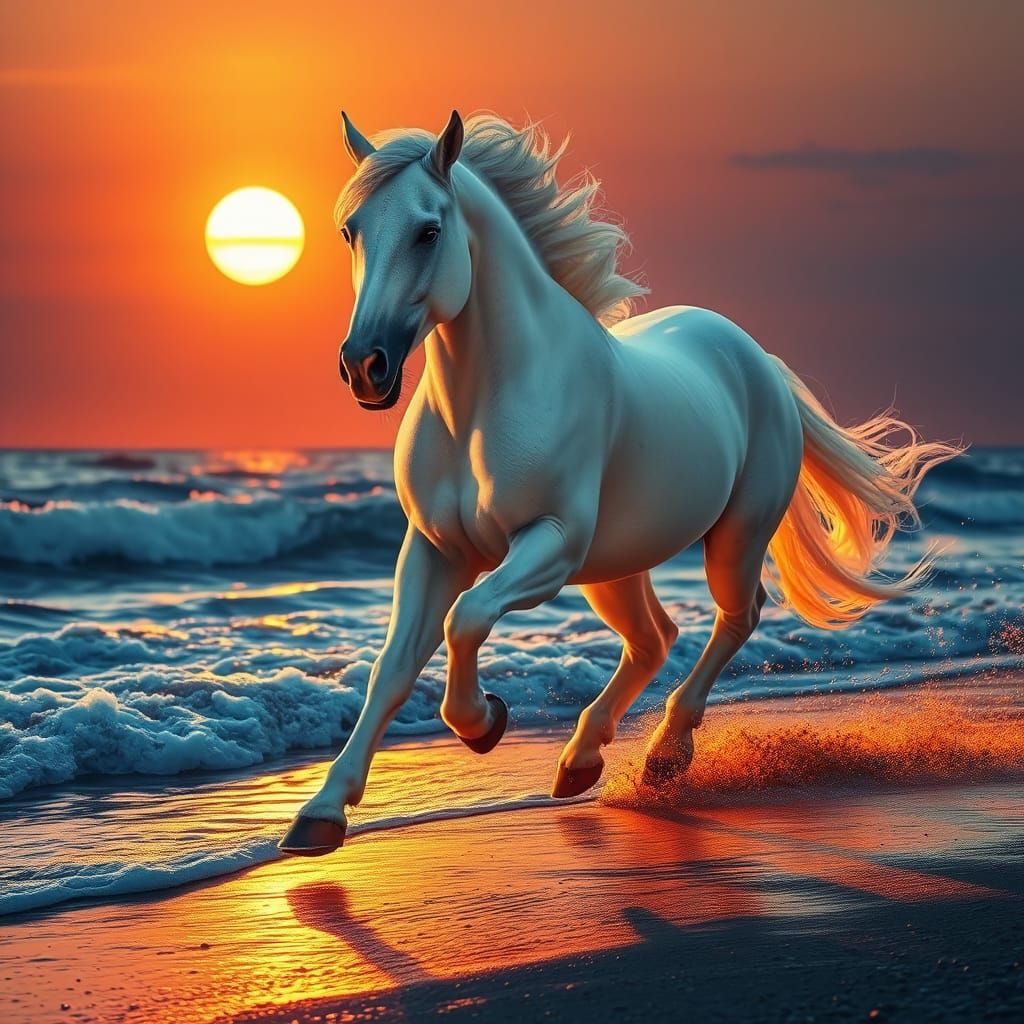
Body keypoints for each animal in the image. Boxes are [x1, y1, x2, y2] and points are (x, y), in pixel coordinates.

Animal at [279, 110, 960, 855]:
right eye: (352, 230)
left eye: (429, 230)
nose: (364, 367)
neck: (485, 403)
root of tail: (757, 358)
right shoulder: (434, 550)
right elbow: (392, 668)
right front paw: (320, 814)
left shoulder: (548, 544)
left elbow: (468, 618)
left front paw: (484, 722)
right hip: (616, 566)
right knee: (654, 638)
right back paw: (581, 761)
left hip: (731, 536)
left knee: (736, 617)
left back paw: (663, 755)